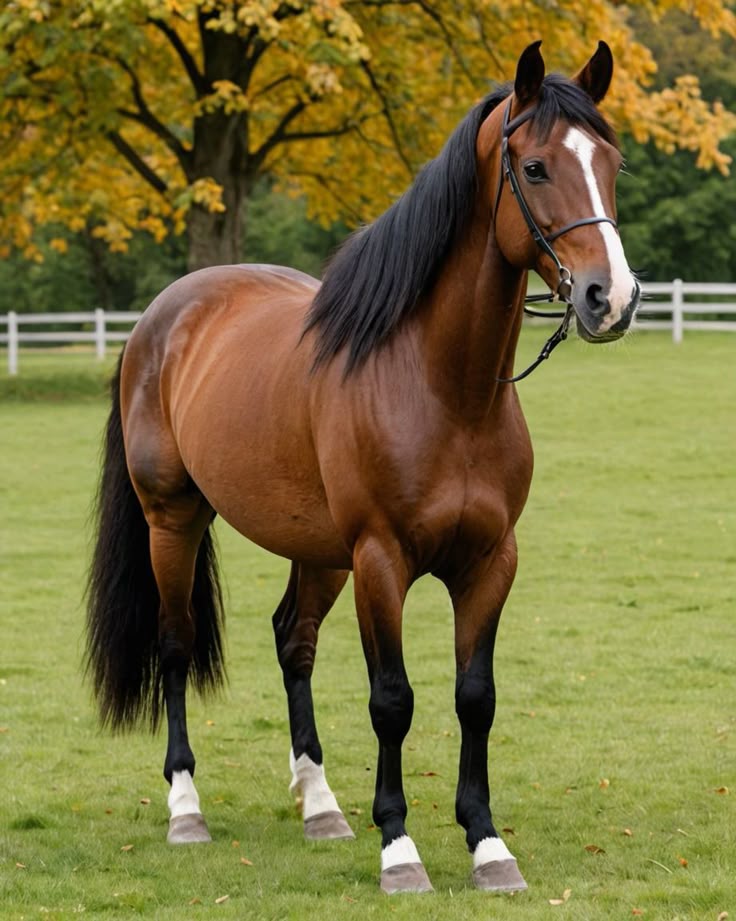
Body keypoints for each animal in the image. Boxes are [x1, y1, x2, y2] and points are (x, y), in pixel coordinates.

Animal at [86, 40, 640, 894]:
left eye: (610, 162)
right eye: (537, 167)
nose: (611, 298)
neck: (443, 387)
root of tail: (161, 318)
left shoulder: (490, 560)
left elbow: (474, 696)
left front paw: (487, 844)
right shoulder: (382, 559)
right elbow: (393, 699)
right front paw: (400, 847)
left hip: (317, 549)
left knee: (294, 641)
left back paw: (320, 806)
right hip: (173, 520)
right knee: (176, 646)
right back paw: (186, 808)